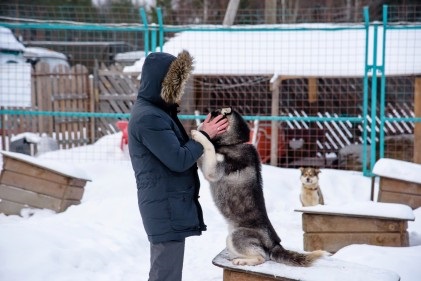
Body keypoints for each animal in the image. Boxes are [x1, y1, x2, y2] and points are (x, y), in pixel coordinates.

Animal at [190, 106, 324, 264]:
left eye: (213, 113)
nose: (207, 114)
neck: (233, 143)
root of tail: (275, 244)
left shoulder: (214, 170)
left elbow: (209, 147)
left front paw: (199, 134)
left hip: (235, 236)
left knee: (261, 257)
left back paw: (242, 261)